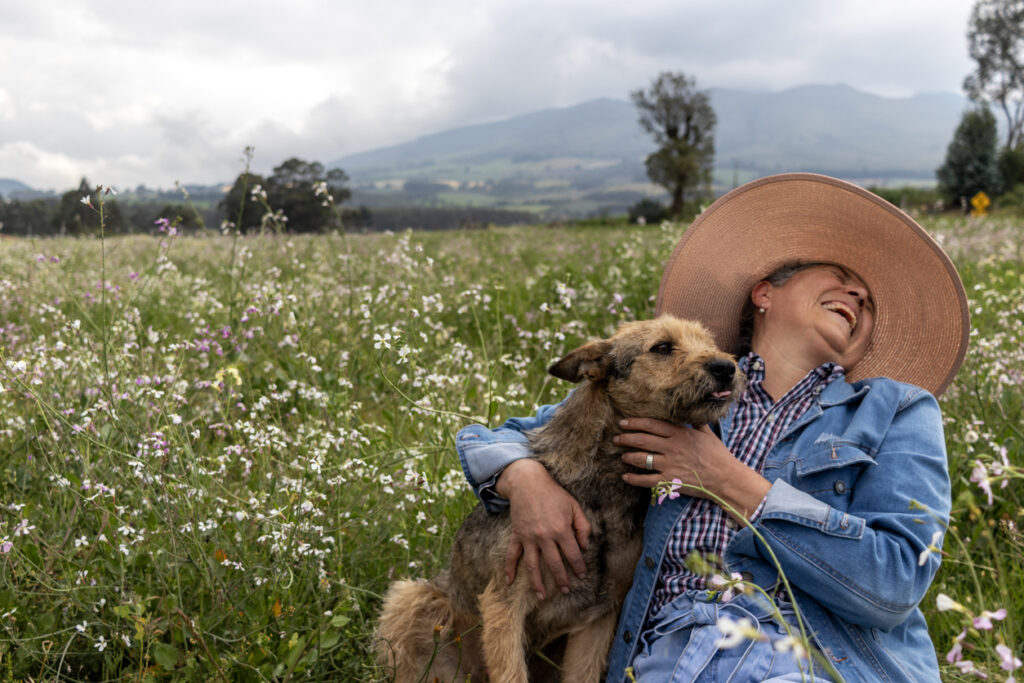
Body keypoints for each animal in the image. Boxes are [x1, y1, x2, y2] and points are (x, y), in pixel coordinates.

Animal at [376, 317, 745, 683]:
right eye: (663, 347)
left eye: (709, 342)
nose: (726, 367)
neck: (601, 486)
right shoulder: (504, 603)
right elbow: (511, 673)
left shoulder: (600, 613)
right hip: (409, 600)